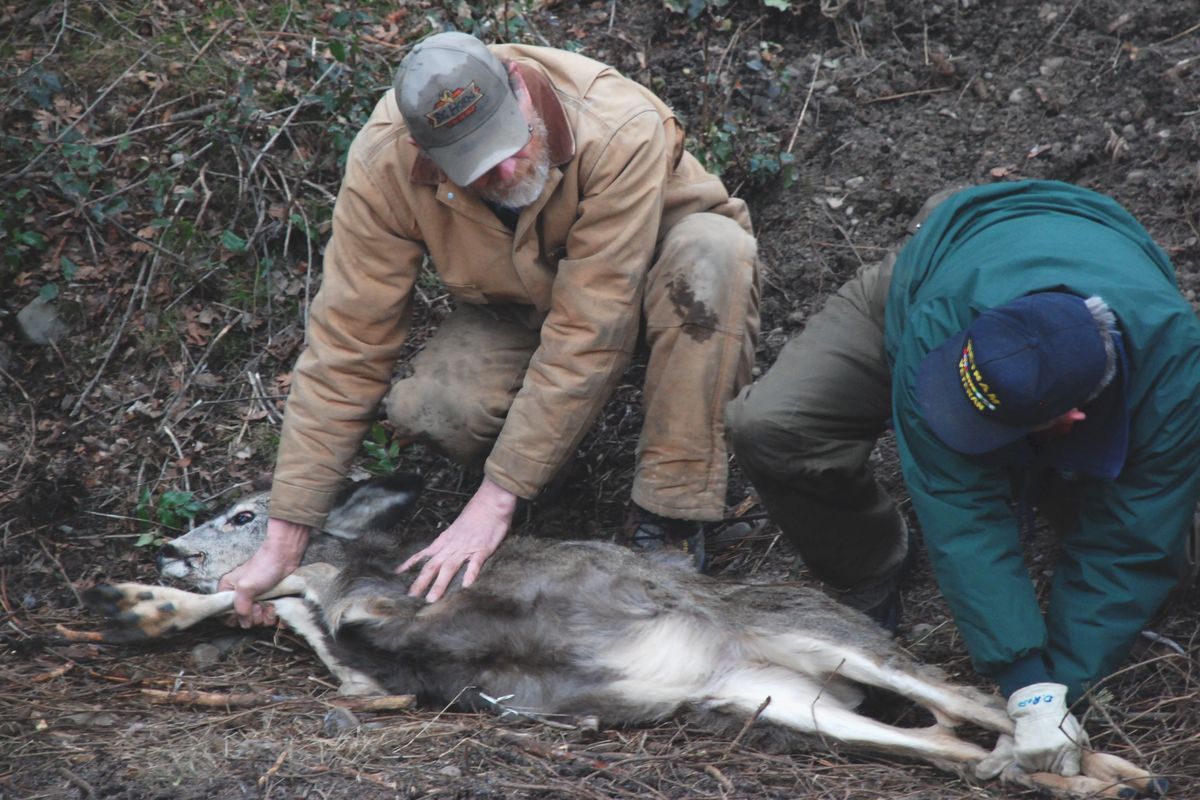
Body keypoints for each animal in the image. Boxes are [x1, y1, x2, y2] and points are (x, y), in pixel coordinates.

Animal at [83, 474, 1166, 799]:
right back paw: (1074, 776)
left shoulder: (401, 600)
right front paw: (139, 605)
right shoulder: (373, 668)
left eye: (240, 510)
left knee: (976, 699)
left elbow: (323, 601)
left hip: (828, 641)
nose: (171, 544)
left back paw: (1106, 766)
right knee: (948, 742)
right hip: (795, 709)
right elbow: (328, 647)